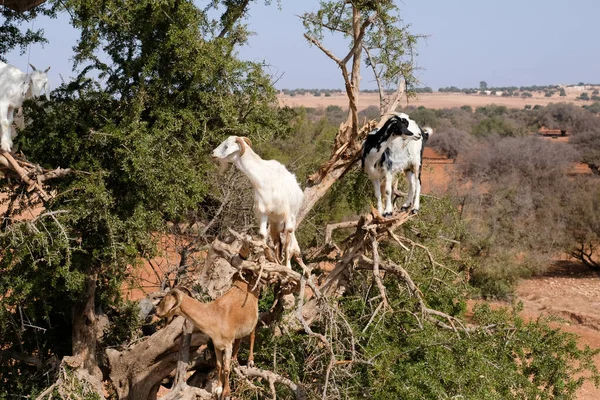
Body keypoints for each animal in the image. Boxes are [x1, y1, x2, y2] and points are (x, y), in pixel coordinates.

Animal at [212, 135, 304, 268]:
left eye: (226, 146)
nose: (213, 153)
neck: (264, 178)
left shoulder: (286, 214)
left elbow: (288, 241)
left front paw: (287, 266)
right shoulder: (263, 212)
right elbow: (262, 235)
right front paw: (265, 258)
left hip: (291, 217)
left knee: (288, 242)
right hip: (274, 223)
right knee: (277, 242)